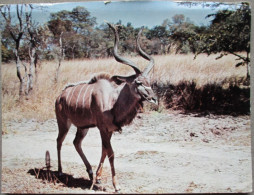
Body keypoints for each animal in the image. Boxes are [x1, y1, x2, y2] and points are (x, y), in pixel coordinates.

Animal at [56, 23, 157, 192]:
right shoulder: (103, 129)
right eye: (138, 82)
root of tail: (59, 96)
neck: (113, 101)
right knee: (59, 141)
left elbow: (104, 150)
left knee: (76, 143)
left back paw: (90, 173)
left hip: (82, 127)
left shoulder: (108, 131)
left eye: (149, 81)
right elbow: (111, 153)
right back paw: (60, 172)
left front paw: (98, 178)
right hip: (64, 123)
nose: (154, 98)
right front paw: (116, 185)